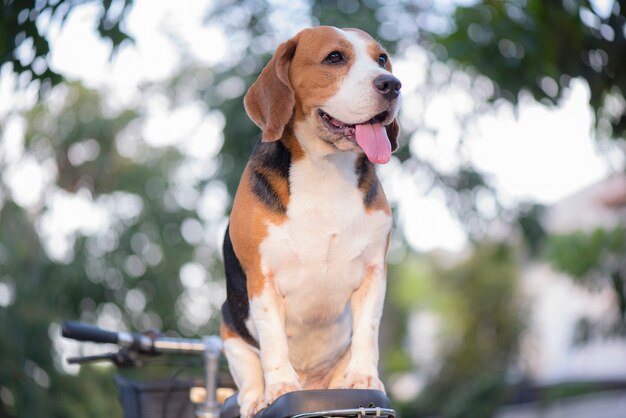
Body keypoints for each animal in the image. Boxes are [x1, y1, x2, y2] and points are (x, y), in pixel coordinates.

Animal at [221, 26, 400, 418]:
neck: (326, 170)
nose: (392, 85)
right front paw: (280, 386)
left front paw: (364, 378)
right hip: (228, 329)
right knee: (247, 376)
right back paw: (257, 397)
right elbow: (273, 340)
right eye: (334, 58)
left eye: (381, 59)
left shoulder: (373, 273)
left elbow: (368, 332)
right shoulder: (262, 278)